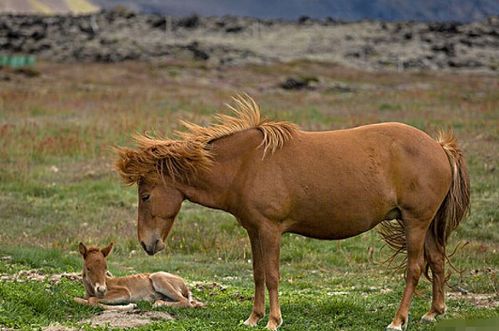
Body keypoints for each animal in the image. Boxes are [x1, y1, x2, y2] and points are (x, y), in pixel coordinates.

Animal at [74, 244, 203, 312]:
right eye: (88, 267)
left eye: (106, 267)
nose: (101, 289)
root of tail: (184, 285)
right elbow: (78, 299)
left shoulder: (124, 292)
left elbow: (92, 300)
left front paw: (131, 305)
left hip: (158, 277)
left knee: (186, 302)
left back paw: (157, 304)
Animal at [115, 94, 470, 330]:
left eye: (145, 195)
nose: (148, 243)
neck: (244, 165)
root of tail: (439, 147)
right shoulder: (254, 230)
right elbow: (258, 273)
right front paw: (253, 318)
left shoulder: (271, 230)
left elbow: (272, 275)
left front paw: (273, 320)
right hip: (424, 224)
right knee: (437, 261)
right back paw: (433, 312)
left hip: (415, 221)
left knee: (415, 268)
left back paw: (399, 320)